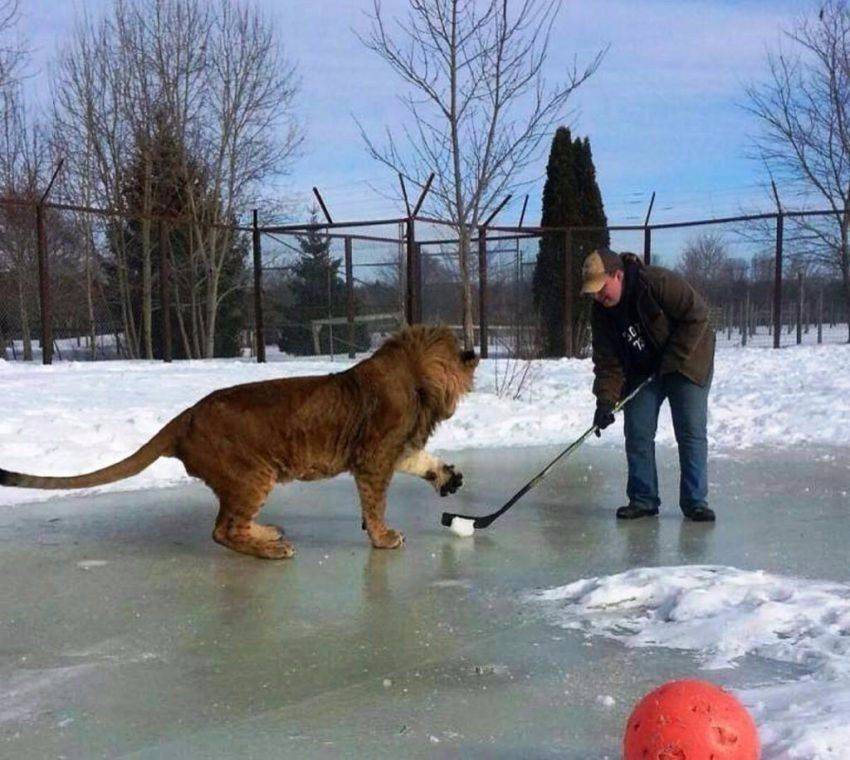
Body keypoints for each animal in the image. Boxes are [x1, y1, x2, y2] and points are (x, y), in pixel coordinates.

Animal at [0, 324, 476, 560]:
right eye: (458, 350)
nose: (474, 354)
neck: (415, 377)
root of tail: (186, 416)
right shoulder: (374, 456)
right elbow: (375, 503)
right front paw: (382, 537)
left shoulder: (394, 450)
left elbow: (421, 461)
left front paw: (447, 477)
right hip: (252, 475)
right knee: (222, 530)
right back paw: (273, 549)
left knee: (232, 525)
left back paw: (269, 532)